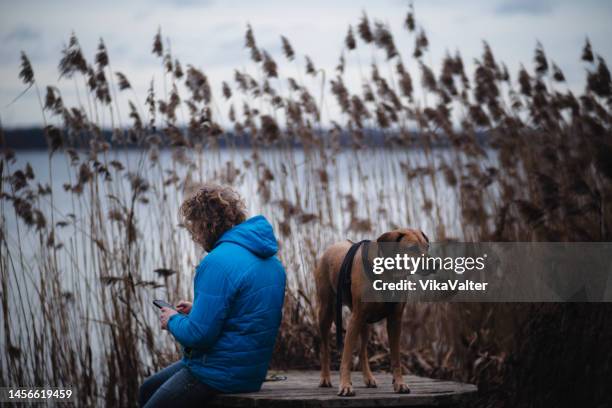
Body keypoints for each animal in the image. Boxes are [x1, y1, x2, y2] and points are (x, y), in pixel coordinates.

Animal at [316, 228, 430, 396]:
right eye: (412, 248)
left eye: (427, 246)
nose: (435, 264)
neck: (389, 274)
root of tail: (330, 248)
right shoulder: (355, 319)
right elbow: (346, 357)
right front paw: (345, 385)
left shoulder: (395, 320)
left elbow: (396, 358)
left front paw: (399, 383)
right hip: (326, 312)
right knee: (325, 348)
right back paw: (325, 378)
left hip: (365, 322)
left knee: (363, 350)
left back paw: (368, 377)